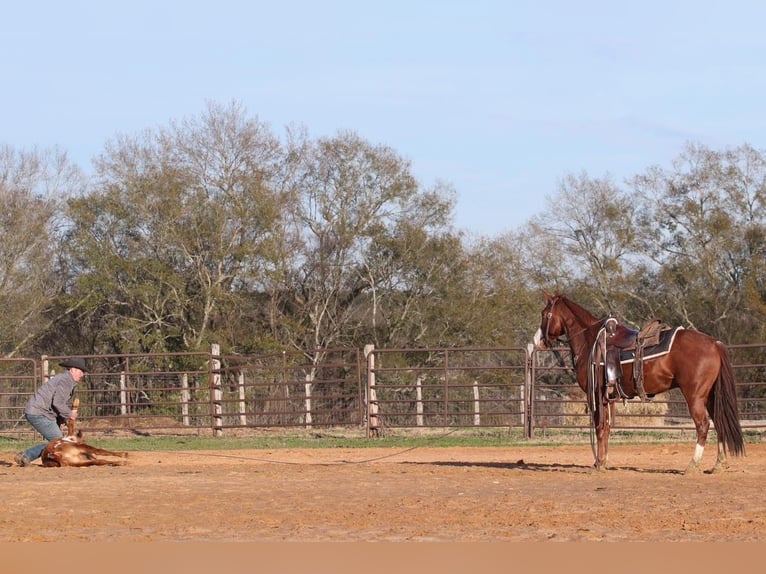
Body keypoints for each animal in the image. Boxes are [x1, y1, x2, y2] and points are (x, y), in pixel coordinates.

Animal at [536, 294, 744, 474]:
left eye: (545, 314)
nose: (540, 341)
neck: (591, 340)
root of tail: (714, 343)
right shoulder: (608, 397)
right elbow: (608, 427)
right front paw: (604, 461)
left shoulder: (596, 395)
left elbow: (600, 427)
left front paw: (599, 463)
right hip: (711, 396)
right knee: (718, 421)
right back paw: (719, 463)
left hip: (695, 396)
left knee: (703, 425)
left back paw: (692, 465)